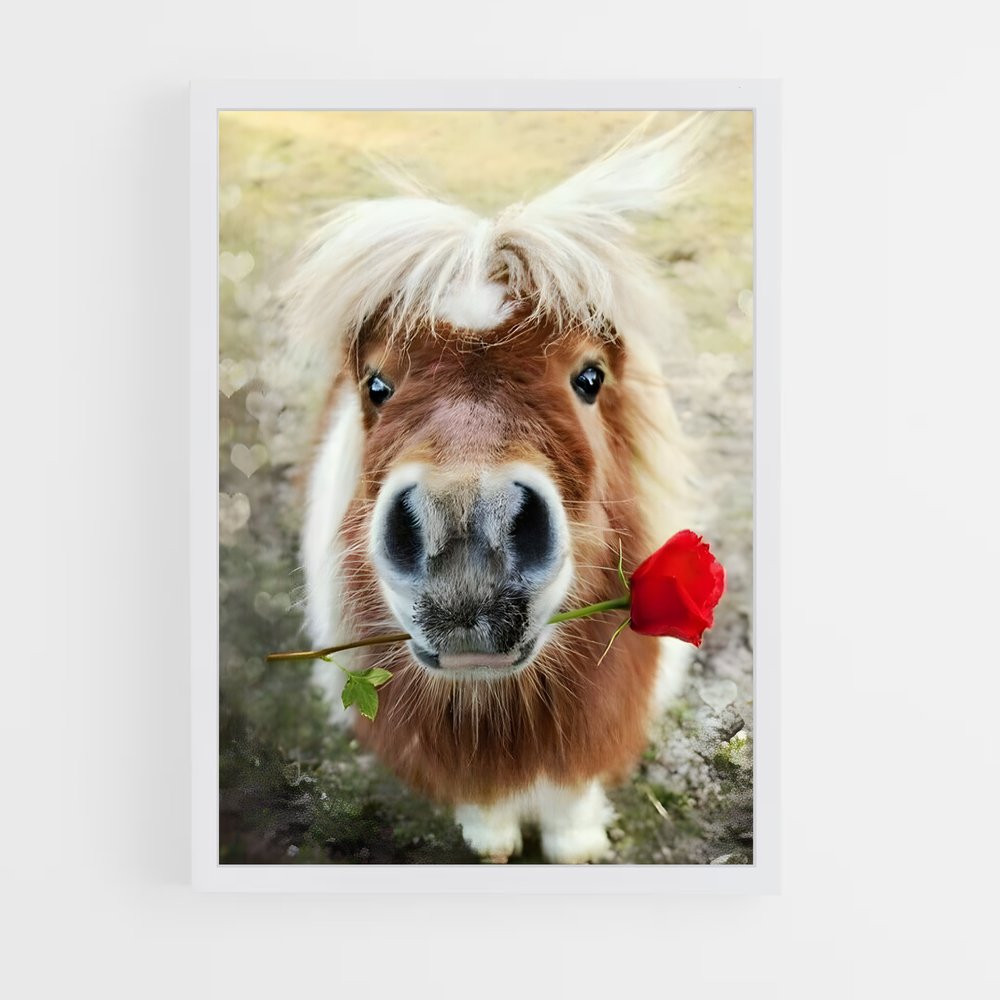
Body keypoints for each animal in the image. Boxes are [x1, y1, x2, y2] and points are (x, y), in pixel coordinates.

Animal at [286, 115, 707, 863]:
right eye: (377, 385)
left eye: (589, 378)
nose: (464, 535)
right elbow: (484, 800)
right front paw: (492, 840)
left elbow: (572, 795)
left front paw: (576, 843)